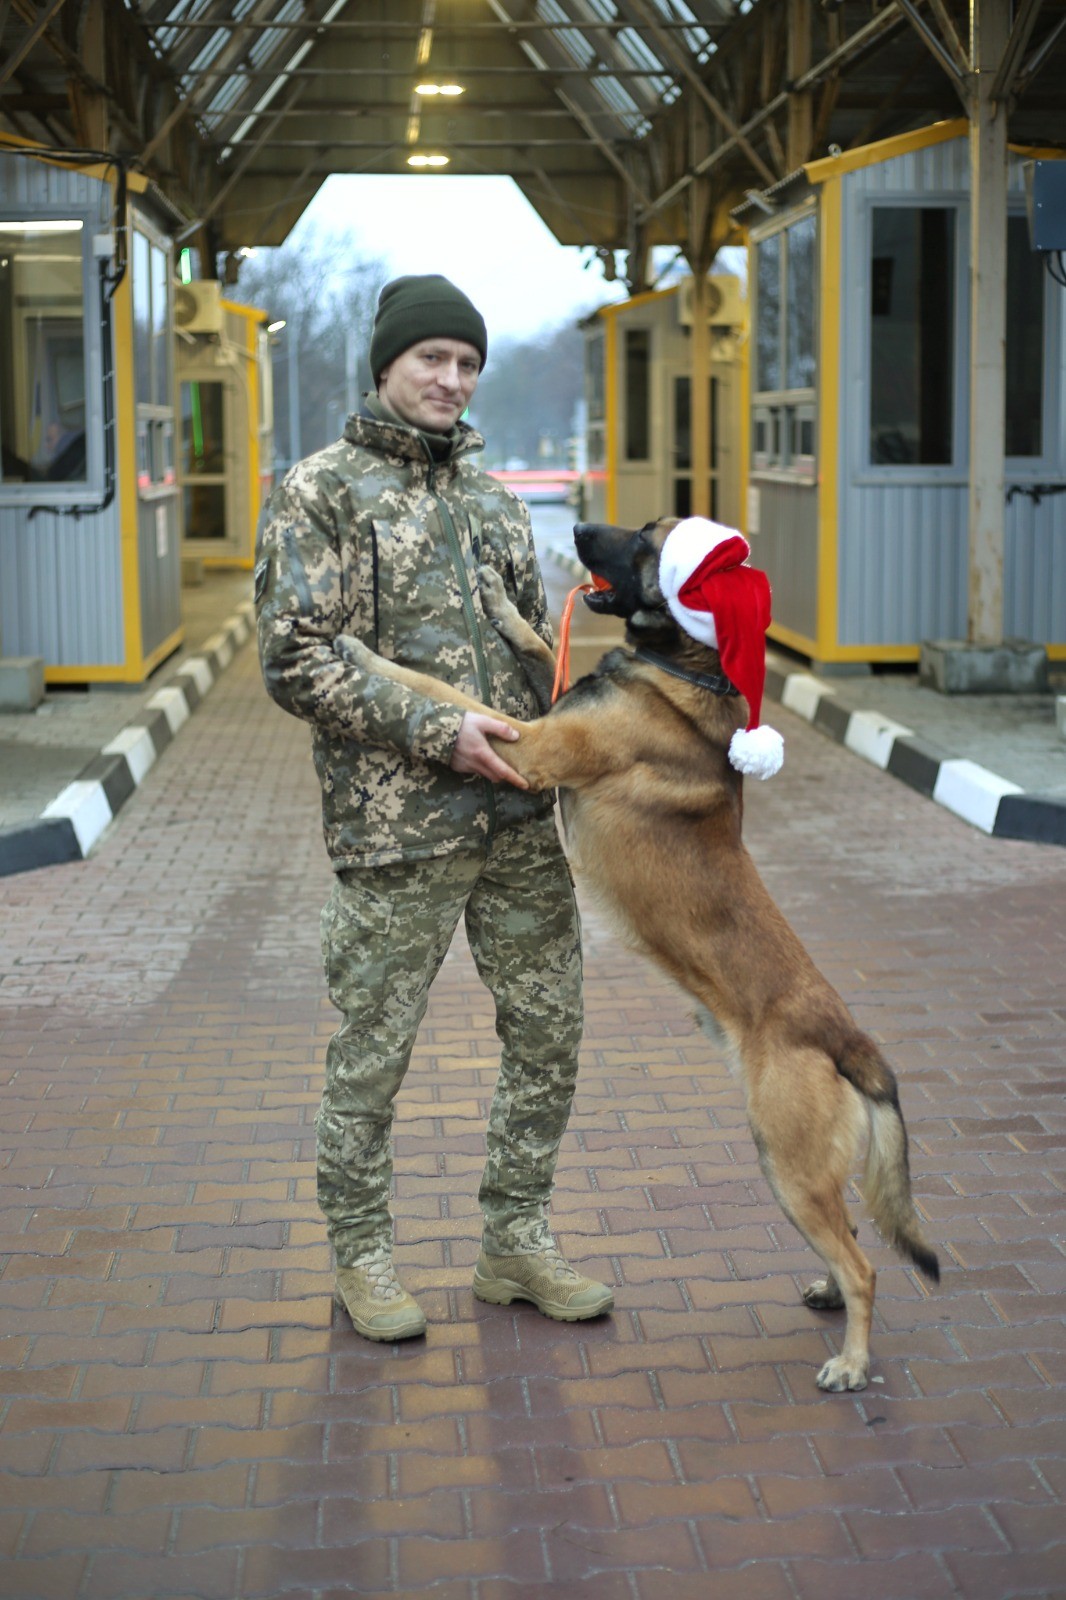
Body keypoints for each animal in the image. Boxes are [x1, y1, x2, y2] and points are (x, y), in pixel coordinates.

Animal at [336, 515, 934, 1388]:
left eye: (649, 541)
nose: (581, 523)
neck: (682, 669)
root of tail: (849, 1039)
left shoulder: (526, 744)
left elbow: (443, 693)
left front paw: (361, 652)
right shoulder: (542, 716)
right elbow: (533, 642)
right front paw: (499, 599)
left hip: (785, 1160)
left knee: (868, 1267)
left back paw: (852, 1363)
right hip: (791, 1169)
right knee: (852, 1239)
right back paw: (828, 1291)